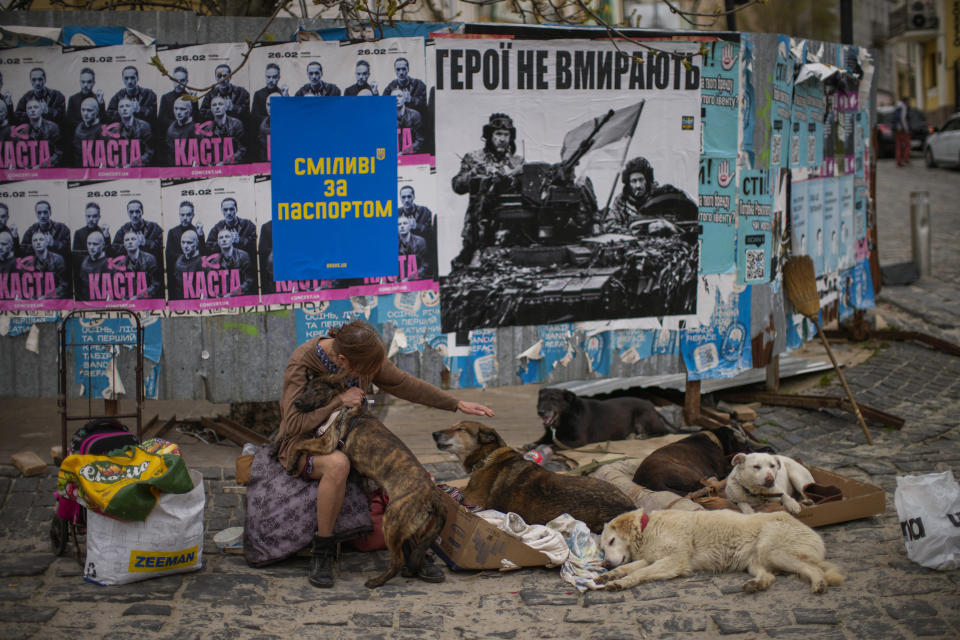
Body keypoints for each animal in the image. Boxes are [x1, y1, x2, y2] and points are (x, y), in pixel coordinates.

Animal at [292, 376, 446, 592]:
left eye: (316, 390)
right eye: (306, 387)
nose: (296, 403)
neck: (340, 407)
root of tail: (432, 492)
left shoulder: (326, 443)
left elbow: (299, 444)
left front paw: (288, 459)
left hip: (391, 520)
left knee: (396, 560)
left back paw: (377, 581)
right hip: (413, 524)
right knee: (415, 548)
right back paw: (413, 570)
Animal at [528, 384, 672, 450]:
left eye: (553, 399)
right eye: (541, 399)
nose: (540, 412)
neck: (566, 417)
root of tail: (651, 405)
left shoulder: (578, 440)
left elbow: (556, 444)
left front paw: (546, 447)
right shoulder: (548, 434)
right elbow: (541, 440)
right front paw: (532, 444)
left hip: (642, 418)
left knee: (663, 432)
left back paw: (643, 436)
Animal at [596, 508, 844, 592]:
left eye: (612, 541)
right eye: (602, 548)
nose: (605, 562)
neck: (647, 529)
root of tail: (815, 534)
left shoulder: (674, 560)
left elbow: (639, 572)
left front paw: (621, 583)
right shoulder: (653, 558)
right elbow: (629, 567)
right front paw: (609, 575)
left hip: (774, 550)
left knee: (814, 569)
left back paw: (819, 584)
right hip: (755, 562)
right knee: (769, 577)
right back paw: (756, 585)